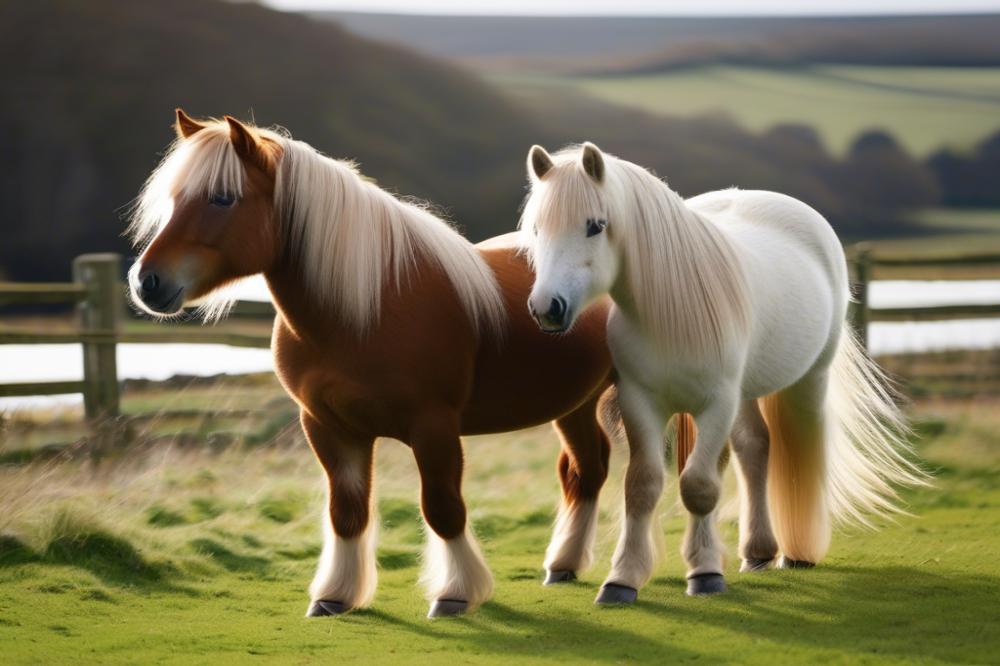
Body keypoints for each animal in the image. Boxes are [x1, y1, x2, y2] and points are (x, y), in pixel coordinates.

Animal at [128, 113, 612, 616]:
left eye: (222, 197)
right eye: (175, 199)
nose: (147, 282)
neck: (367, 309)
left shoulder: (434, 428)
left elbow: (442, 507)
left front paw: (455, 592)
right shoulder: (329, 428)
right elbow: (347, 511)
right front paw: (335, 596)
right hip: (576, 405)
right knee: (587, 469)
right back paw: (564, 564)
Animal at [520, 144, 924, 600]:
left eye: (595, 225)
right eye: (537, 228)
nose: (546, 307)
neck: (666, 310)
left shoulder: (717, 404)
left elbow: (699, 486)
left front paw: (705, 574)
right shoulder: (640, 402)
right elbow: (642, 486)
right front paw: (622, 580)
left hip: (807, 380)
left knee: (798, 446)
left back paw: (796, 552)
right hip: (744, 395)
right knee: (755, 449)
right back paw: (758, 552)